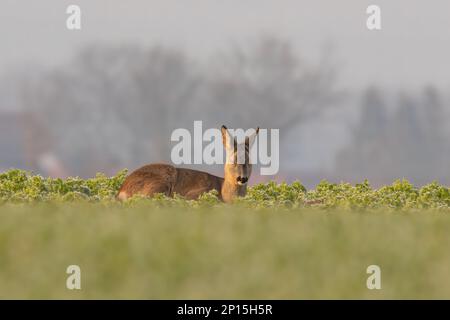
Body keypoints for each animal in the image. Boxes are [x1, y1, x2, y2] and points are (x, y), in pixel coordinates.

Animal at [117, 125, 260, 202]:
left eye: (250, 161)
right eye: (233, 159)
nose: (242, 178)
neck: (223, 192)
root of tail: (122, 190)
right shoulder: (195, 194)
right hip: (160, 184)